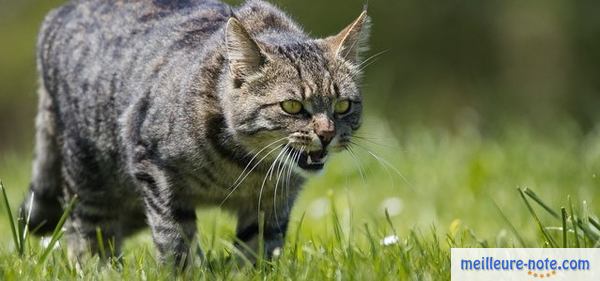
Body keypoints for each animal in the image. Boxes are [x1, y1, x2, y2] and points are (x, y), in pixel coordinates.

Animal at [21, 0, 368, 264]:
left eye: (342, 106)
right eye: (293, 106)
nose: (327, 133)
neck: (245, 168)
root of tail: (60, 12)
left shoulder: (274, 202)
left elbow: (260, 247)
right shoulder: (155, 173)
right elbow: (174, 240)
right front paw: (183, 269)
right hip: (90, 179)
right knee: (88, 236)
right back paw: (100, 267)